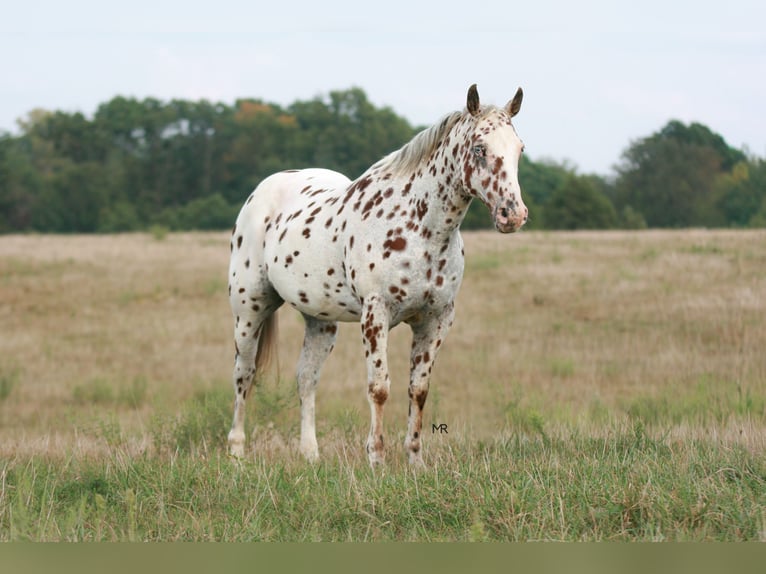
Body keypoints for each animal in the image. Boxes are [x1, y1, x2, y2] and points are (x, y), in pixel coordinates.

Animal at [227, 84, 527, 466]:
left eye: (519, 149)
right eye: (479, 148)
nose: (512, 214)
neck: (419, 227)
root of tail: (262, 192)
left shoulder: (436, 320)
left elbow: (419, 390)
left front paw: (415, 461)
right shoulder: (376, 315)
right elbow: (380, 387)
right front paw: (377, 460)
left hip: (320, 322)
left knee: (306, 379)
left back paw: (311, 456)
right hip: (250, 309)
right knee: (244, 373)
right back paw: (237, 452)